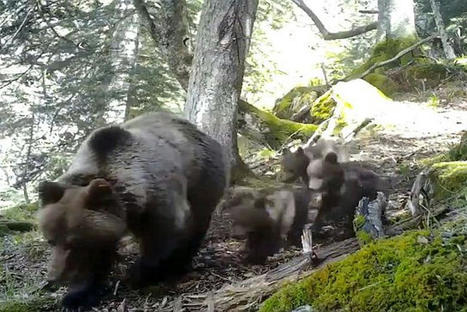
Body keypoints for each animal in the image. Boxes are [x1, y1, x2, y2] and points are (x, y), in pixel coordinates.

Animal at [37, 112, 227, 310]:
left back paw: (180, 265)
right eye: (50, 240)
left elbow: (162, 236)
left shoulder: (160, 200)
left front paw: (139, 274)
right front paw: (78, 295)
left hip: (205, 177)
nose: (53, 278)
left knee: (198, 221)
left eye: (73, 242)